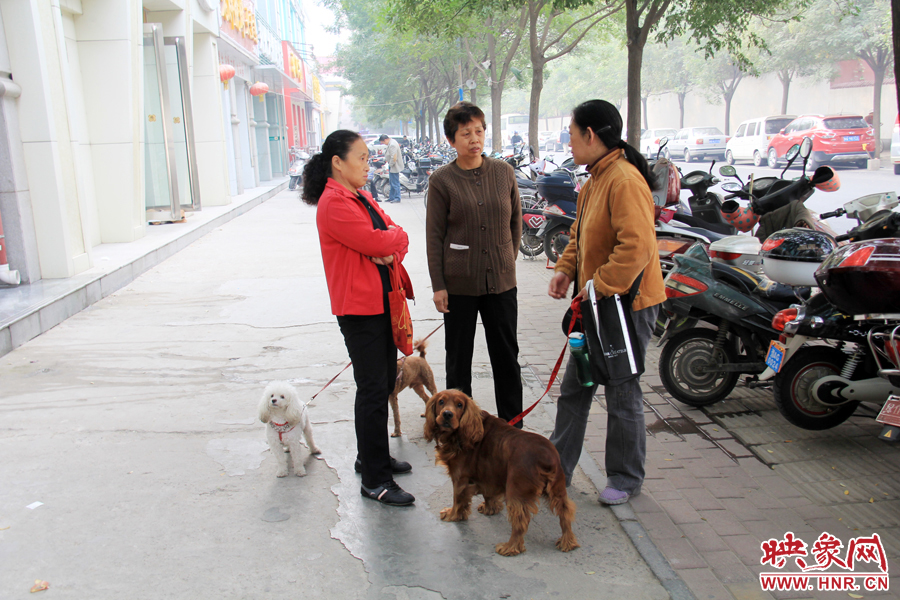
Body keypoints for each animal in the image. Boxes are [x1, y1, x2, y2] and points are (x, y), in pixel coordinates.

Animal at [426, 390, 580, 556]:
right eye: (441, 402)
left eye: (459, 405)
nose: (447, 414)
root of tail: (546, 455)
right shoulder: (489, 473)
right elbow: (488, 494)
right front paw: (490, 508)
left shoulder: (460, 478)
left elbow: (457, 500)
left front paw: (452, 515)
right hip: (557, 489)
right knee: (565, 512)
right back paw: (568, 542)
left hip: (516, 491)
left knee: (520, 522)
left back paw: (510, 547)